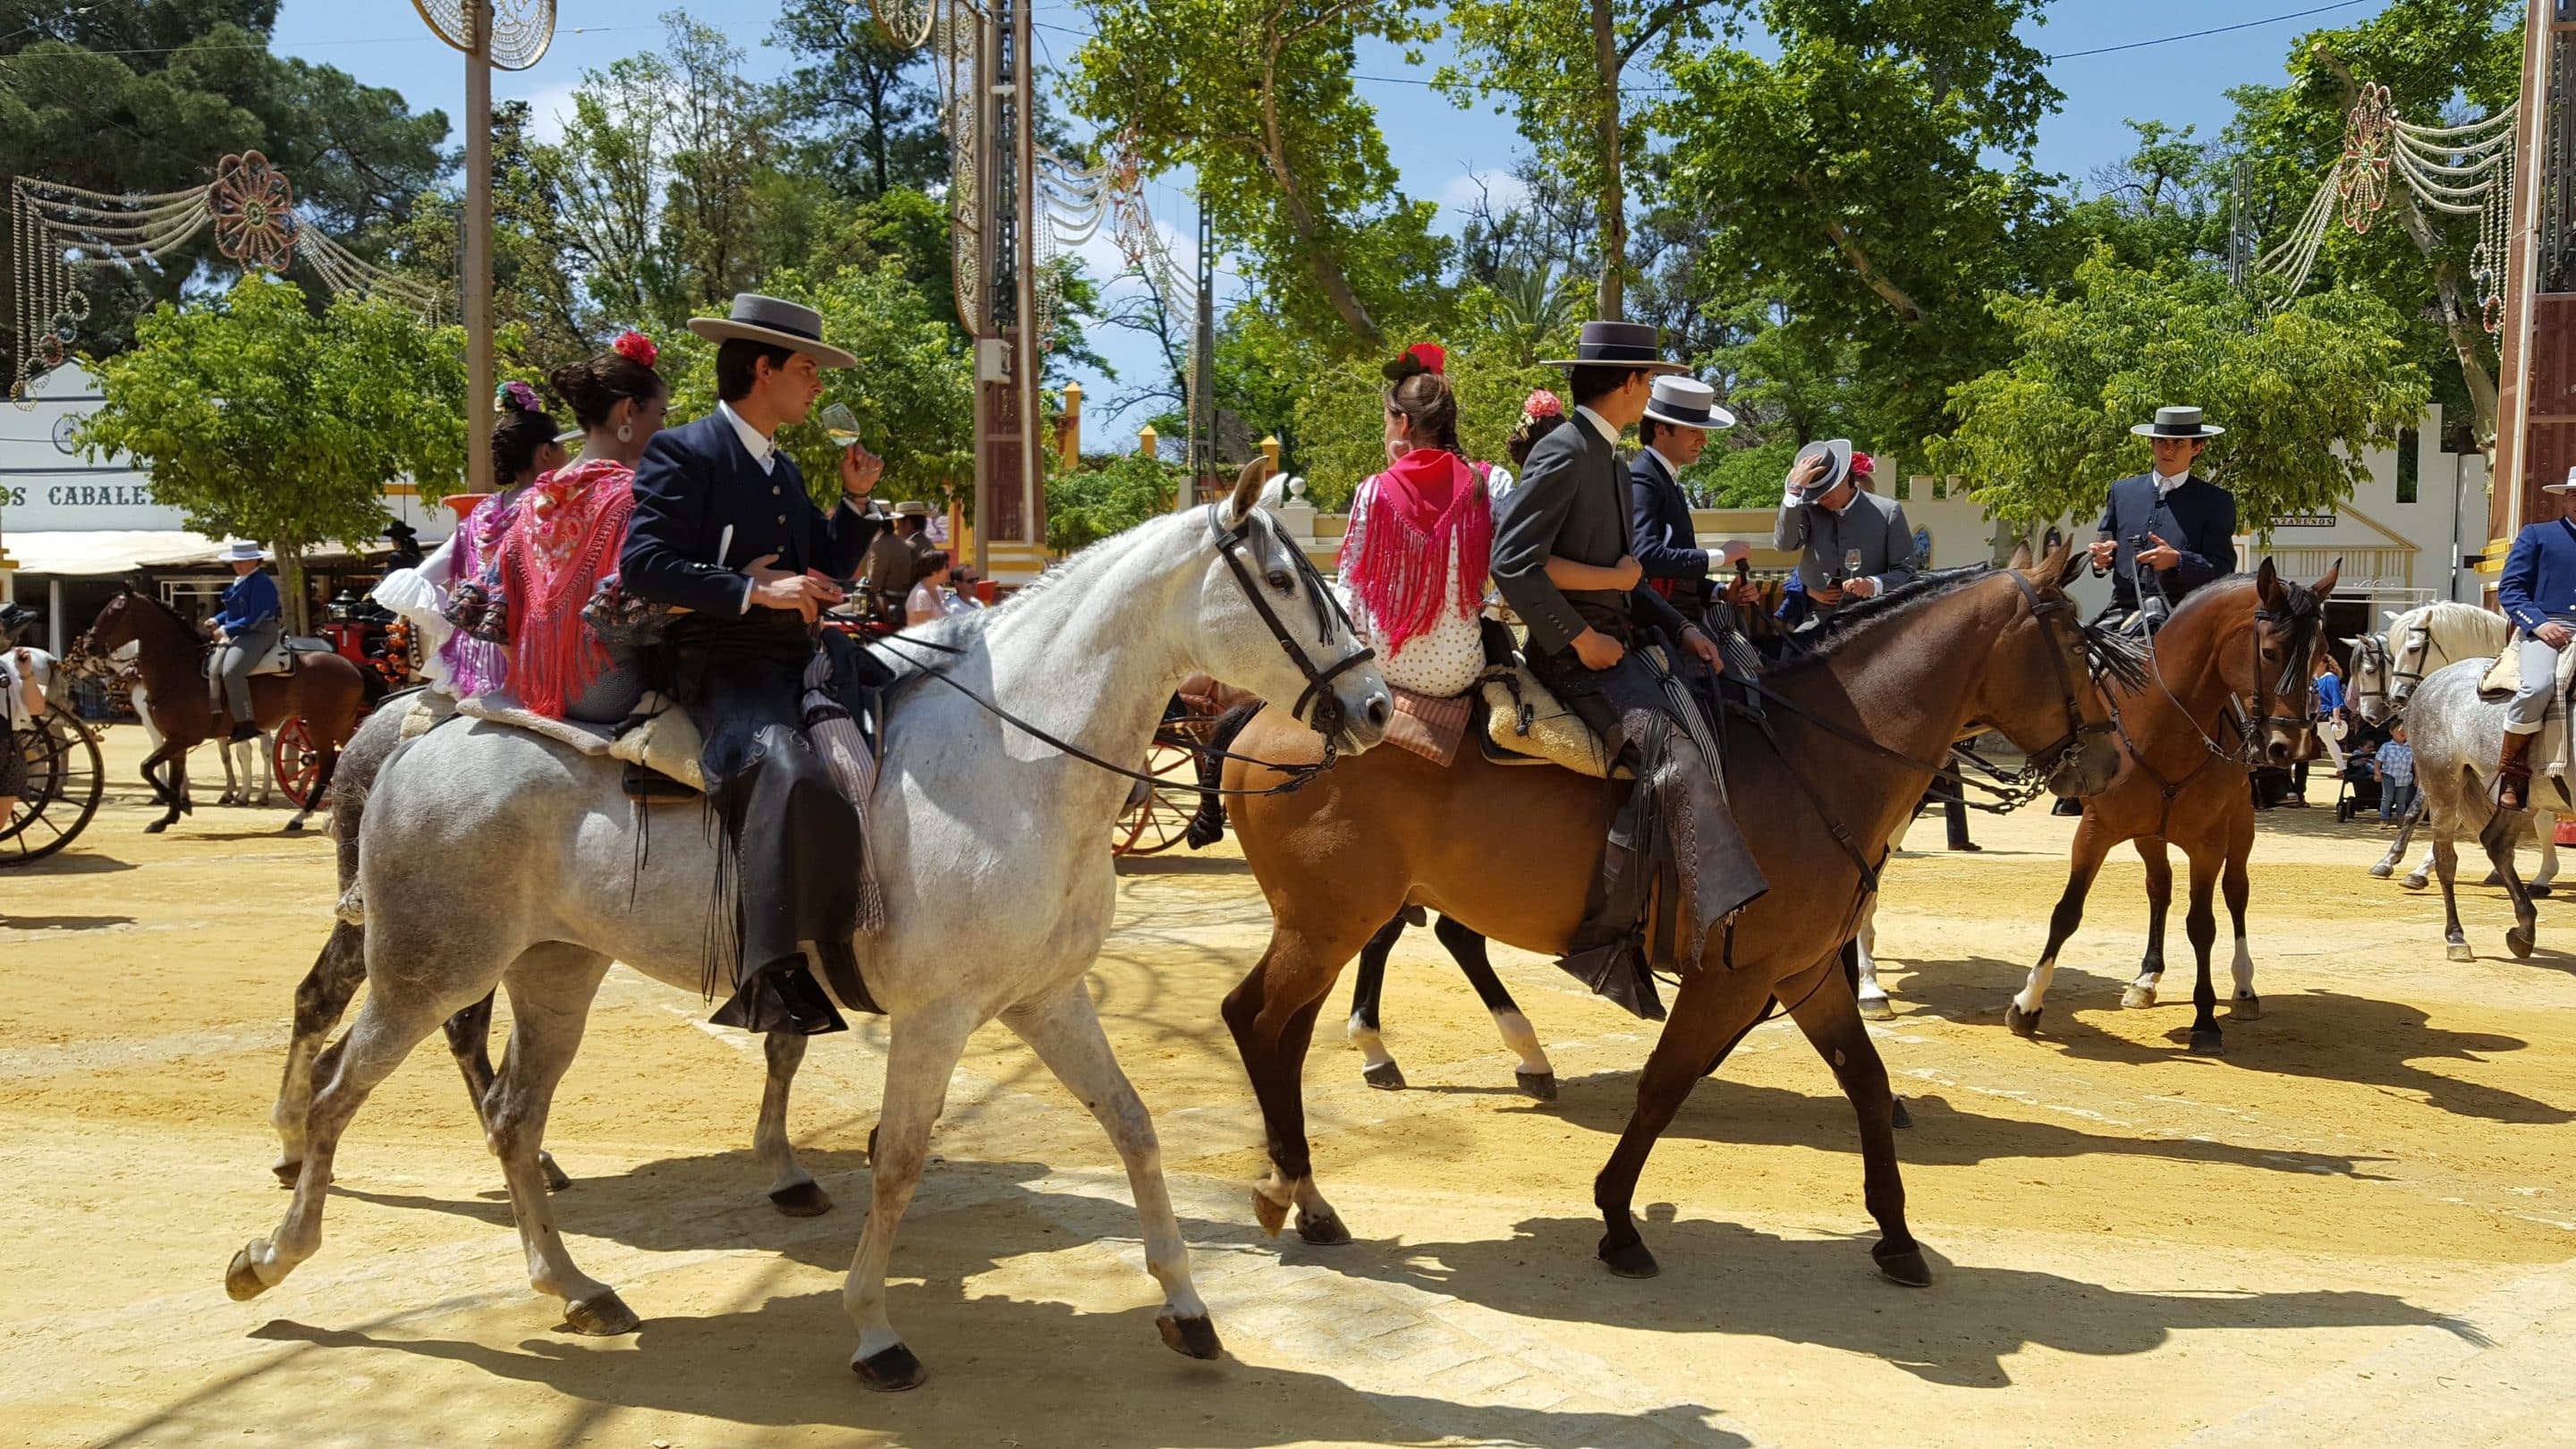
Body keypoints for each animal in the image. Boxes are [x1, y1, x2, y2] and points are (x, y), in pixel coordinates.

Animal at [81, 580, 368, 830]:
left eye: (116, 610)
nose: (89, 645)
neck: (180, 670)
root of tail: (350, 666)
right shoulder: (176, 740)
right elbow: (172, 776)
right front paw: (168, 817)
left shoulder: (182, 738)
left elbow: (147, 768)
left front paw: (179, 805)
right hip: (339, 726)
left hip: (322, 725)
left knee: (327, 765)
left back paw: (300, 816)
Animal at [221, 463, 1391, 1392]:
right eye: (1284, 581)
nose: (1377, 708)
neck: (1014, 764)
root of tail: (426, 730)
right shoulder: (937, 1016)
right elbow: (900, 1160)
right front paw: (874, 1330)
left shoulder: (1045, 999)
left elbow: (1134, 1127)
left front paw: (1188, 1309)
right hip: (427, 970)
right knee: (335, 1089)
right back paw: (271, 1254)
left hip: (555, 971)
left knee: (511, 1117)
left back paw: (576, 1287)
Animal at [1216, 538, 2123, 1273]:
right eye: (2080, 643)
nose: (2111, 761)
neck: (1811, 751)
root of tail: (1266, 718)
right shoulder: (1732, 973)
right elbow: (1664, 1083)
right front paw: (1618, 1222)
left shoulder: (1802, 971)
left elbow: (1864, 1079)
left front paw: (1896, 1237)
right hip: (1327, 923)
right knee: (1256, 1021)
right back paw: (1301, 1184)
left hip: (1331, 924)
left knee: (1300, 1026)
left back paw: (1315, 1177)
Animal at [1998, 562, 2349, 1046]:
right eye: (2270, 652)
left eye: (2322, 652)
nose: (2289, 746)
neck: (2165, 726)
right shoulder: (2094, 832)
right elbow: (2067, 913)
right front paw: (2027, 1005)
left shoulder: (2208, 844)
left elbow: (2203, 924)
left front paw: (2205, 1019)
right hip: (2150, 836)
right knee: (2159, 889)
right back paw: (2147, 978)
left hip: (2240, 826)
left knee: (2236, 894)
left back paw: (2243, 989)